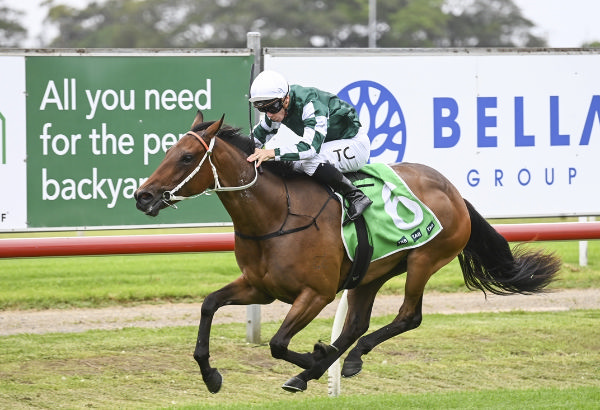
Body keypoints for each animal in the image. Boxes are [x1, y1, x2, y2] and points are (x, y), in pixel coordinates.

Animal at [134, 112, 560, 394]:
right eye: (167, 151)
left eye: (187, 158)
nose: (143, 196)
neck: (277, 213)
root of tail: (454, 191)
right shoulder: (260, 288)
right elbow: (209, 304)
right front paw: (211, 375)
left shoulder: (316, 293)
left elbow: (278, 343)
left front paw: (316, 359)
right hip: (370, 272)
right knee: (358, 323)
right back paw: (340, 359)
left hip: (423, 259)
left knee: (409, 316)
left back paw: (346, 359)